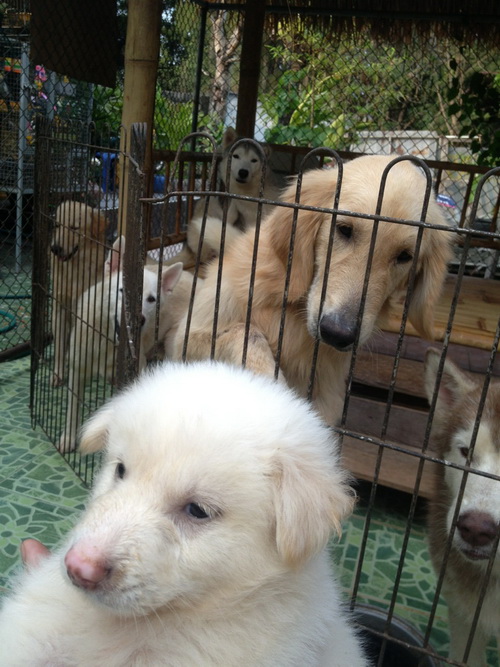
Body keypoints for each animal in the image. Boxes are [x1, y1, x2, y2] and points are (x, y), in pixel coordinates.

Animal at [50, 201, 109, 387]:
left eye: (74, 227)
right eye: (57, 225)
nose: (55, 248)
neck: (73, 272)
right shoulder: (59, 310)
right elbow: (60, 348)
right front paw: (58, 374)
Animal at [58, 239, 184, 453]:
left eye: (151, 299)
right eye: (123, 291)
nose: (140, 319)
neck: (107, 341)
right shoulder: (77, 369)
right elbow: (72, 408)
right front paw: (68, 438)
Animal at [173, 155, 453, 426]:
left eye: (405, 256)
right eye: (344, 230)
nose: (338, 334)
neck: (292, 310)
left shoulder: (329, 397)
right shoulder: (187, 339)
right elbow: (245, 332)